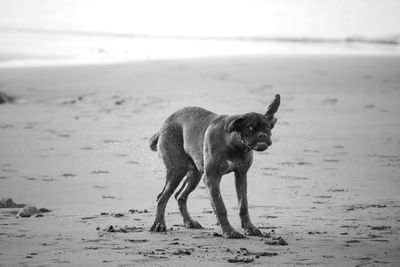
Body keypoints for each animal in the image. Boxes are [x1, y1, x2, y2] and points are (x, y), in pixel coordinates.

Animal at [148, 94, 280, 239]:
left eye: (267, 127)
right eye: (250, 127)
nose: (262, 135)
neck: (233, 144)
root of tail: (163, 125)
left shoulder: (241, 175)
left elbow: (243, 205)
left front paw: (249, 228)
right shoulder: (212, 178)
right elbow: (220, 206)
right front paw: (229, 231)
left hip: (195, 175)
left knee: (180, 196)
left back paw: (189, 222)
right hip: (176, 171)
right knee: (162, 198)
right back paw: (159, 225)